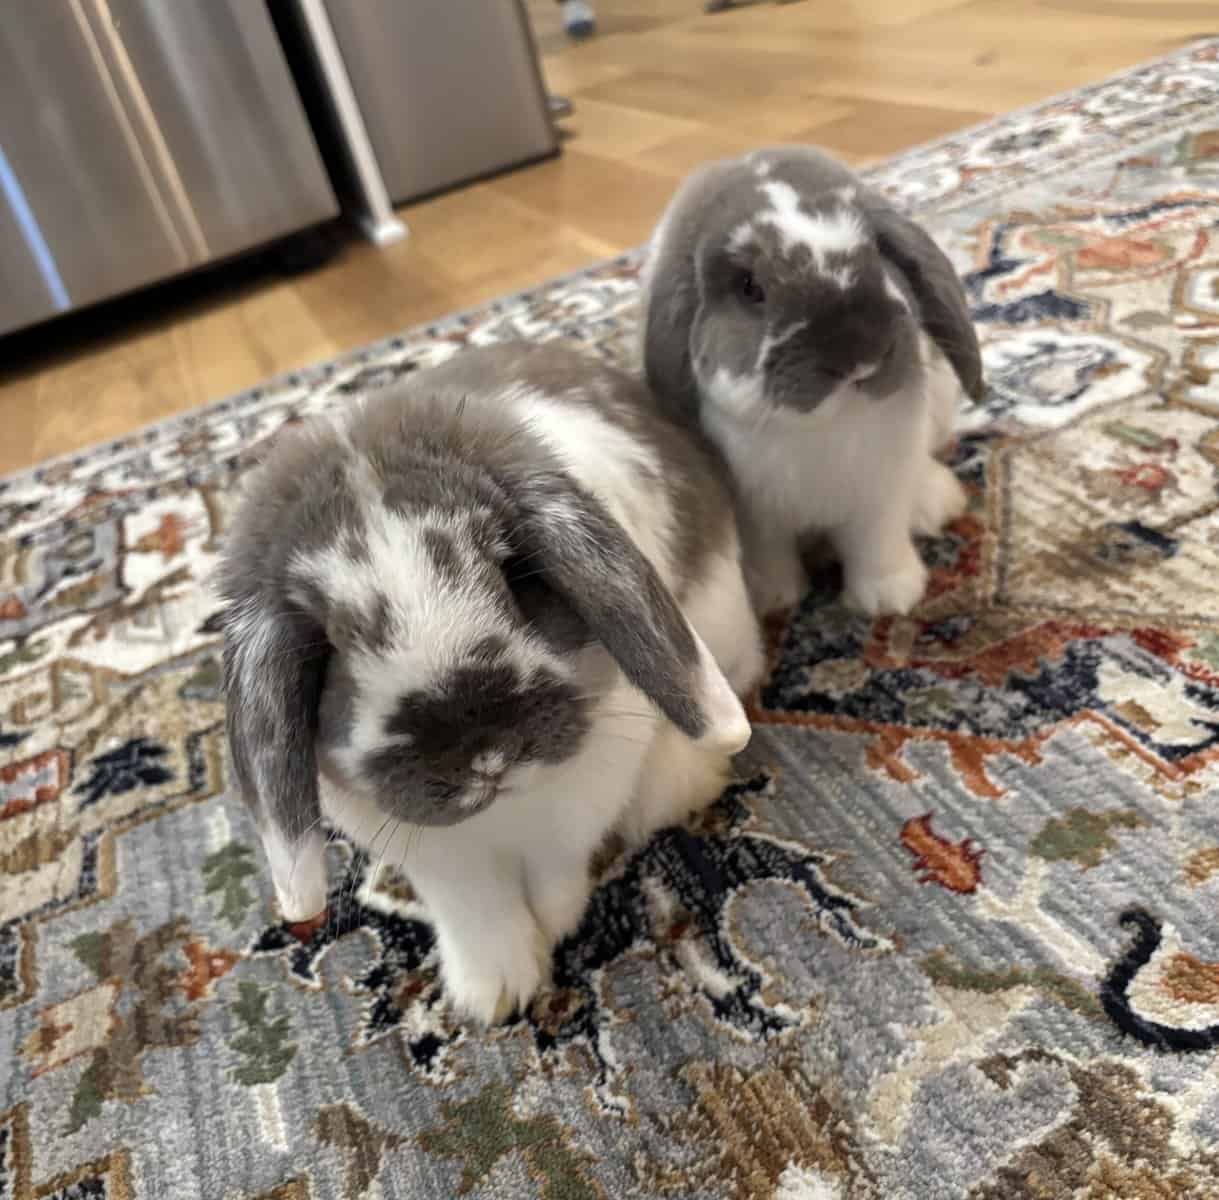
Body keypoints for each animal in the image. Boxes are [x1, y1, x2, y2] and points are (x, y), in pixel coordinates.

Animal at [218, 341, 764, 1026]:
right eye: (327, 645)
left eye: (516, 573)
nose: (485, 753)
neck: (507, 811)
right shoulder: (442, 861)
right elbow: (476, 911)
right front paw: (493, 993)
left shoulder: (582, 799)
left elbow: (557, 869)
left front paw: (556, 925)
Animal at [639, 144, 985, 618]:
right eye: (749, 287)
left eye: (877, 251)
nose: (858, 352)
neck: (827, 426)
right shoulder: (758, 518)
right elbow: (771, 556)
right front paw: (775, 600)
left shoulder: (878, 498)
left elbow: (876, 546)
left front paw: (889, 600)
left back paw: (937, 502)